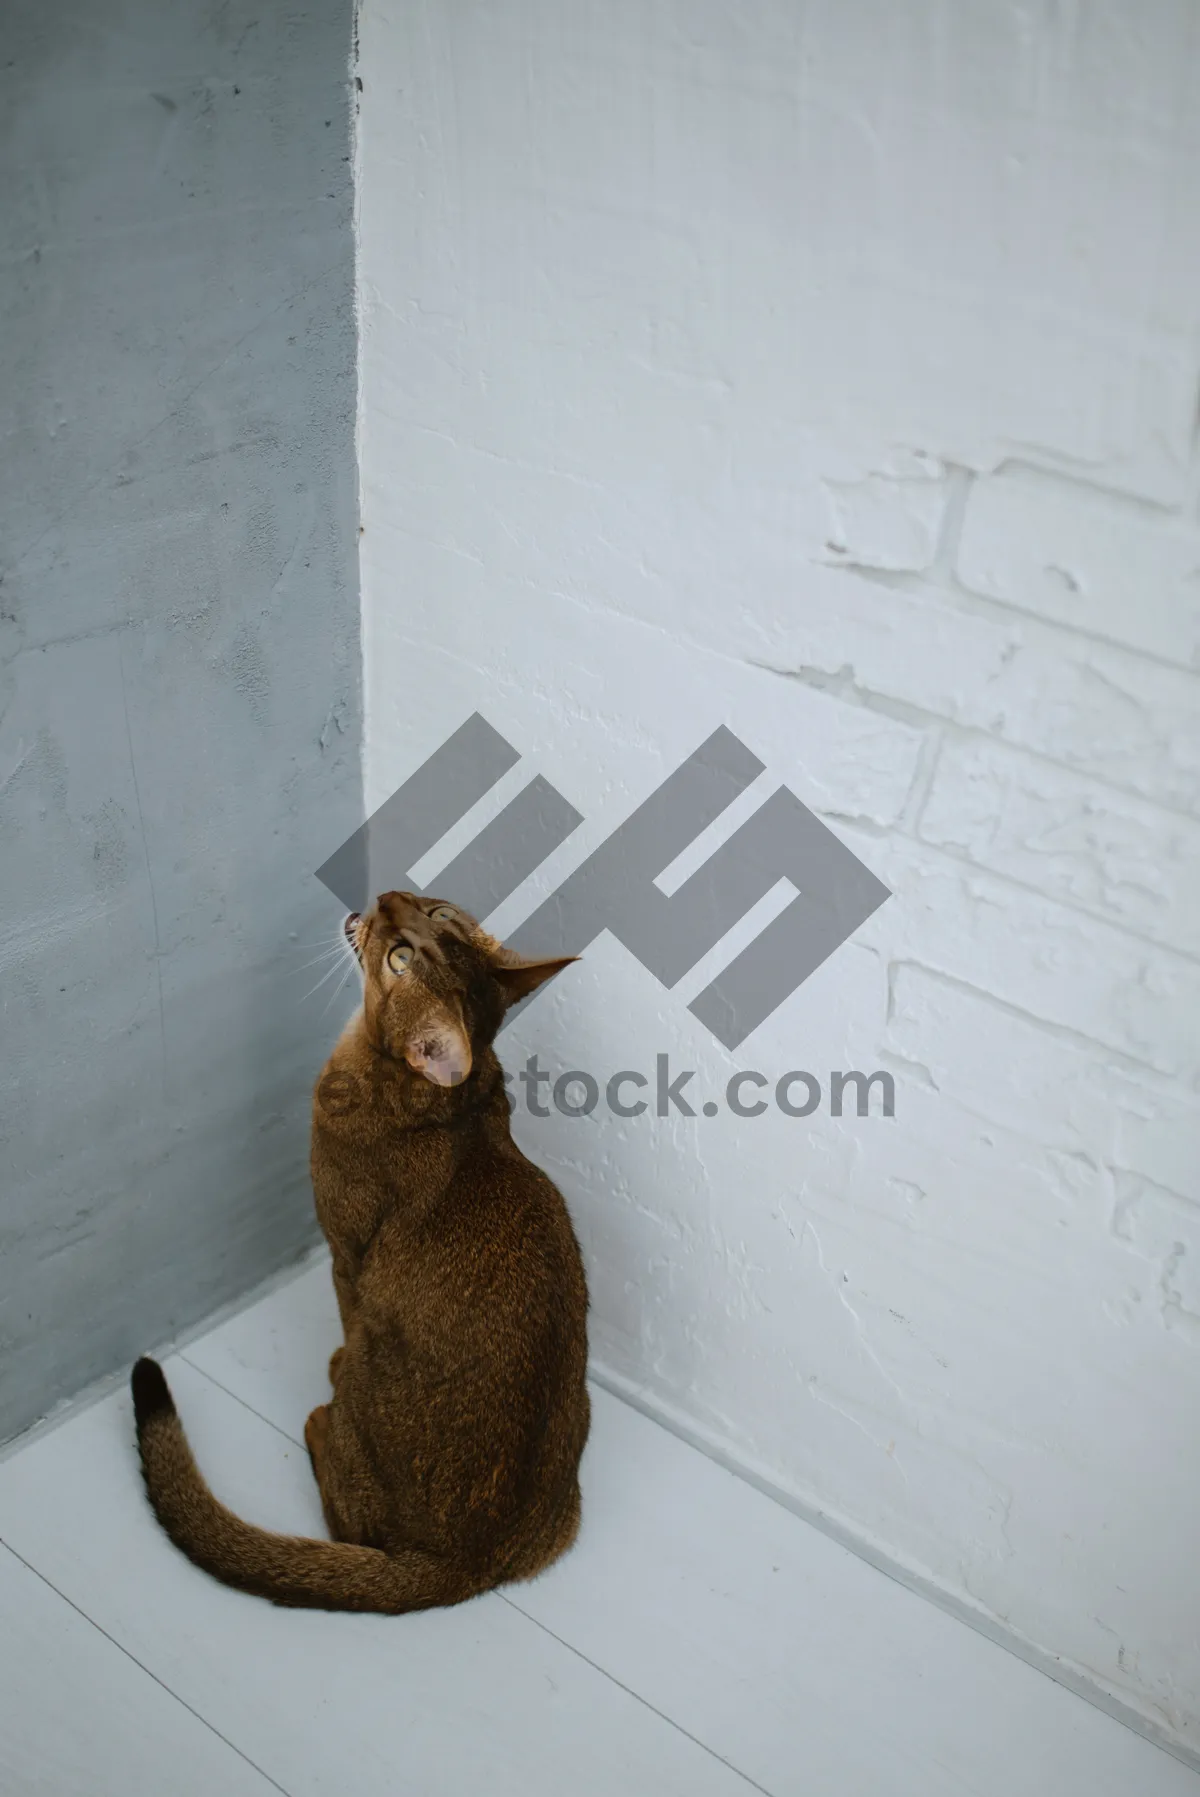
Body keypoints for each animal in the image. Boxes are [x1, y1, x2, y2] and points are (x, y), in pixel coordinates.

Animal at [131, 891, 589, 1610]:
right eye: (434, 909)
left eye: (399, 959)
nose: (386, 898)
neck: (448, 1098)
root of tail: (467, 1564)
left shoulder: (344, 1256)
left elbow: (346, 1315)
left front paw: (332, 1359)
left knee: (346, 1521)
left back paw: (321, 1422)